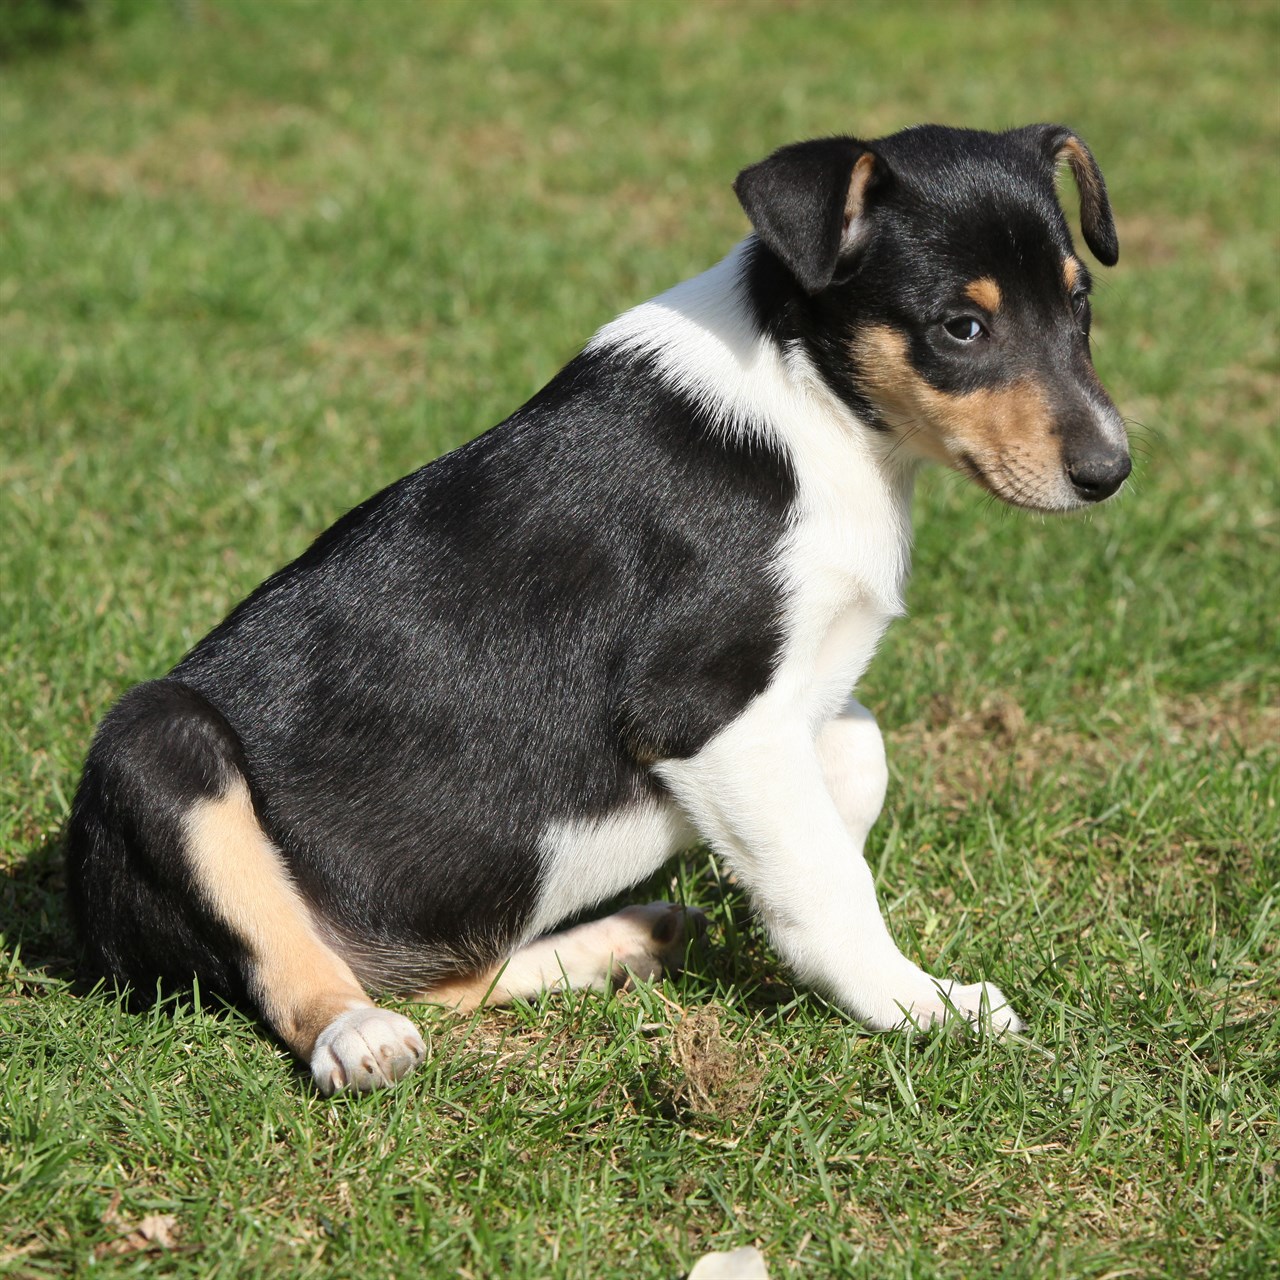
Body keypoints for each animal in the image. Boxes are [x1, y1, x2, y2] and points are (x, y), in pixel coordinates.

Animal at [70, 124, 1131, 1095]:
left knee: (450, 981)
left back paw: (625, 941)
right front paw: (922, 1005)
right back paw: (359, 1036)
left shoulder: (788, 701)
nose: (1111, 472)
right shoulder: (704, 711)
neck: (819, 406)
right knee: (295, 968)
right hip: (156, 744)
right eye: (961, 327)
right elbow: (826, 880)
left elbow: (855, 761)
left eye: (1081, 304)